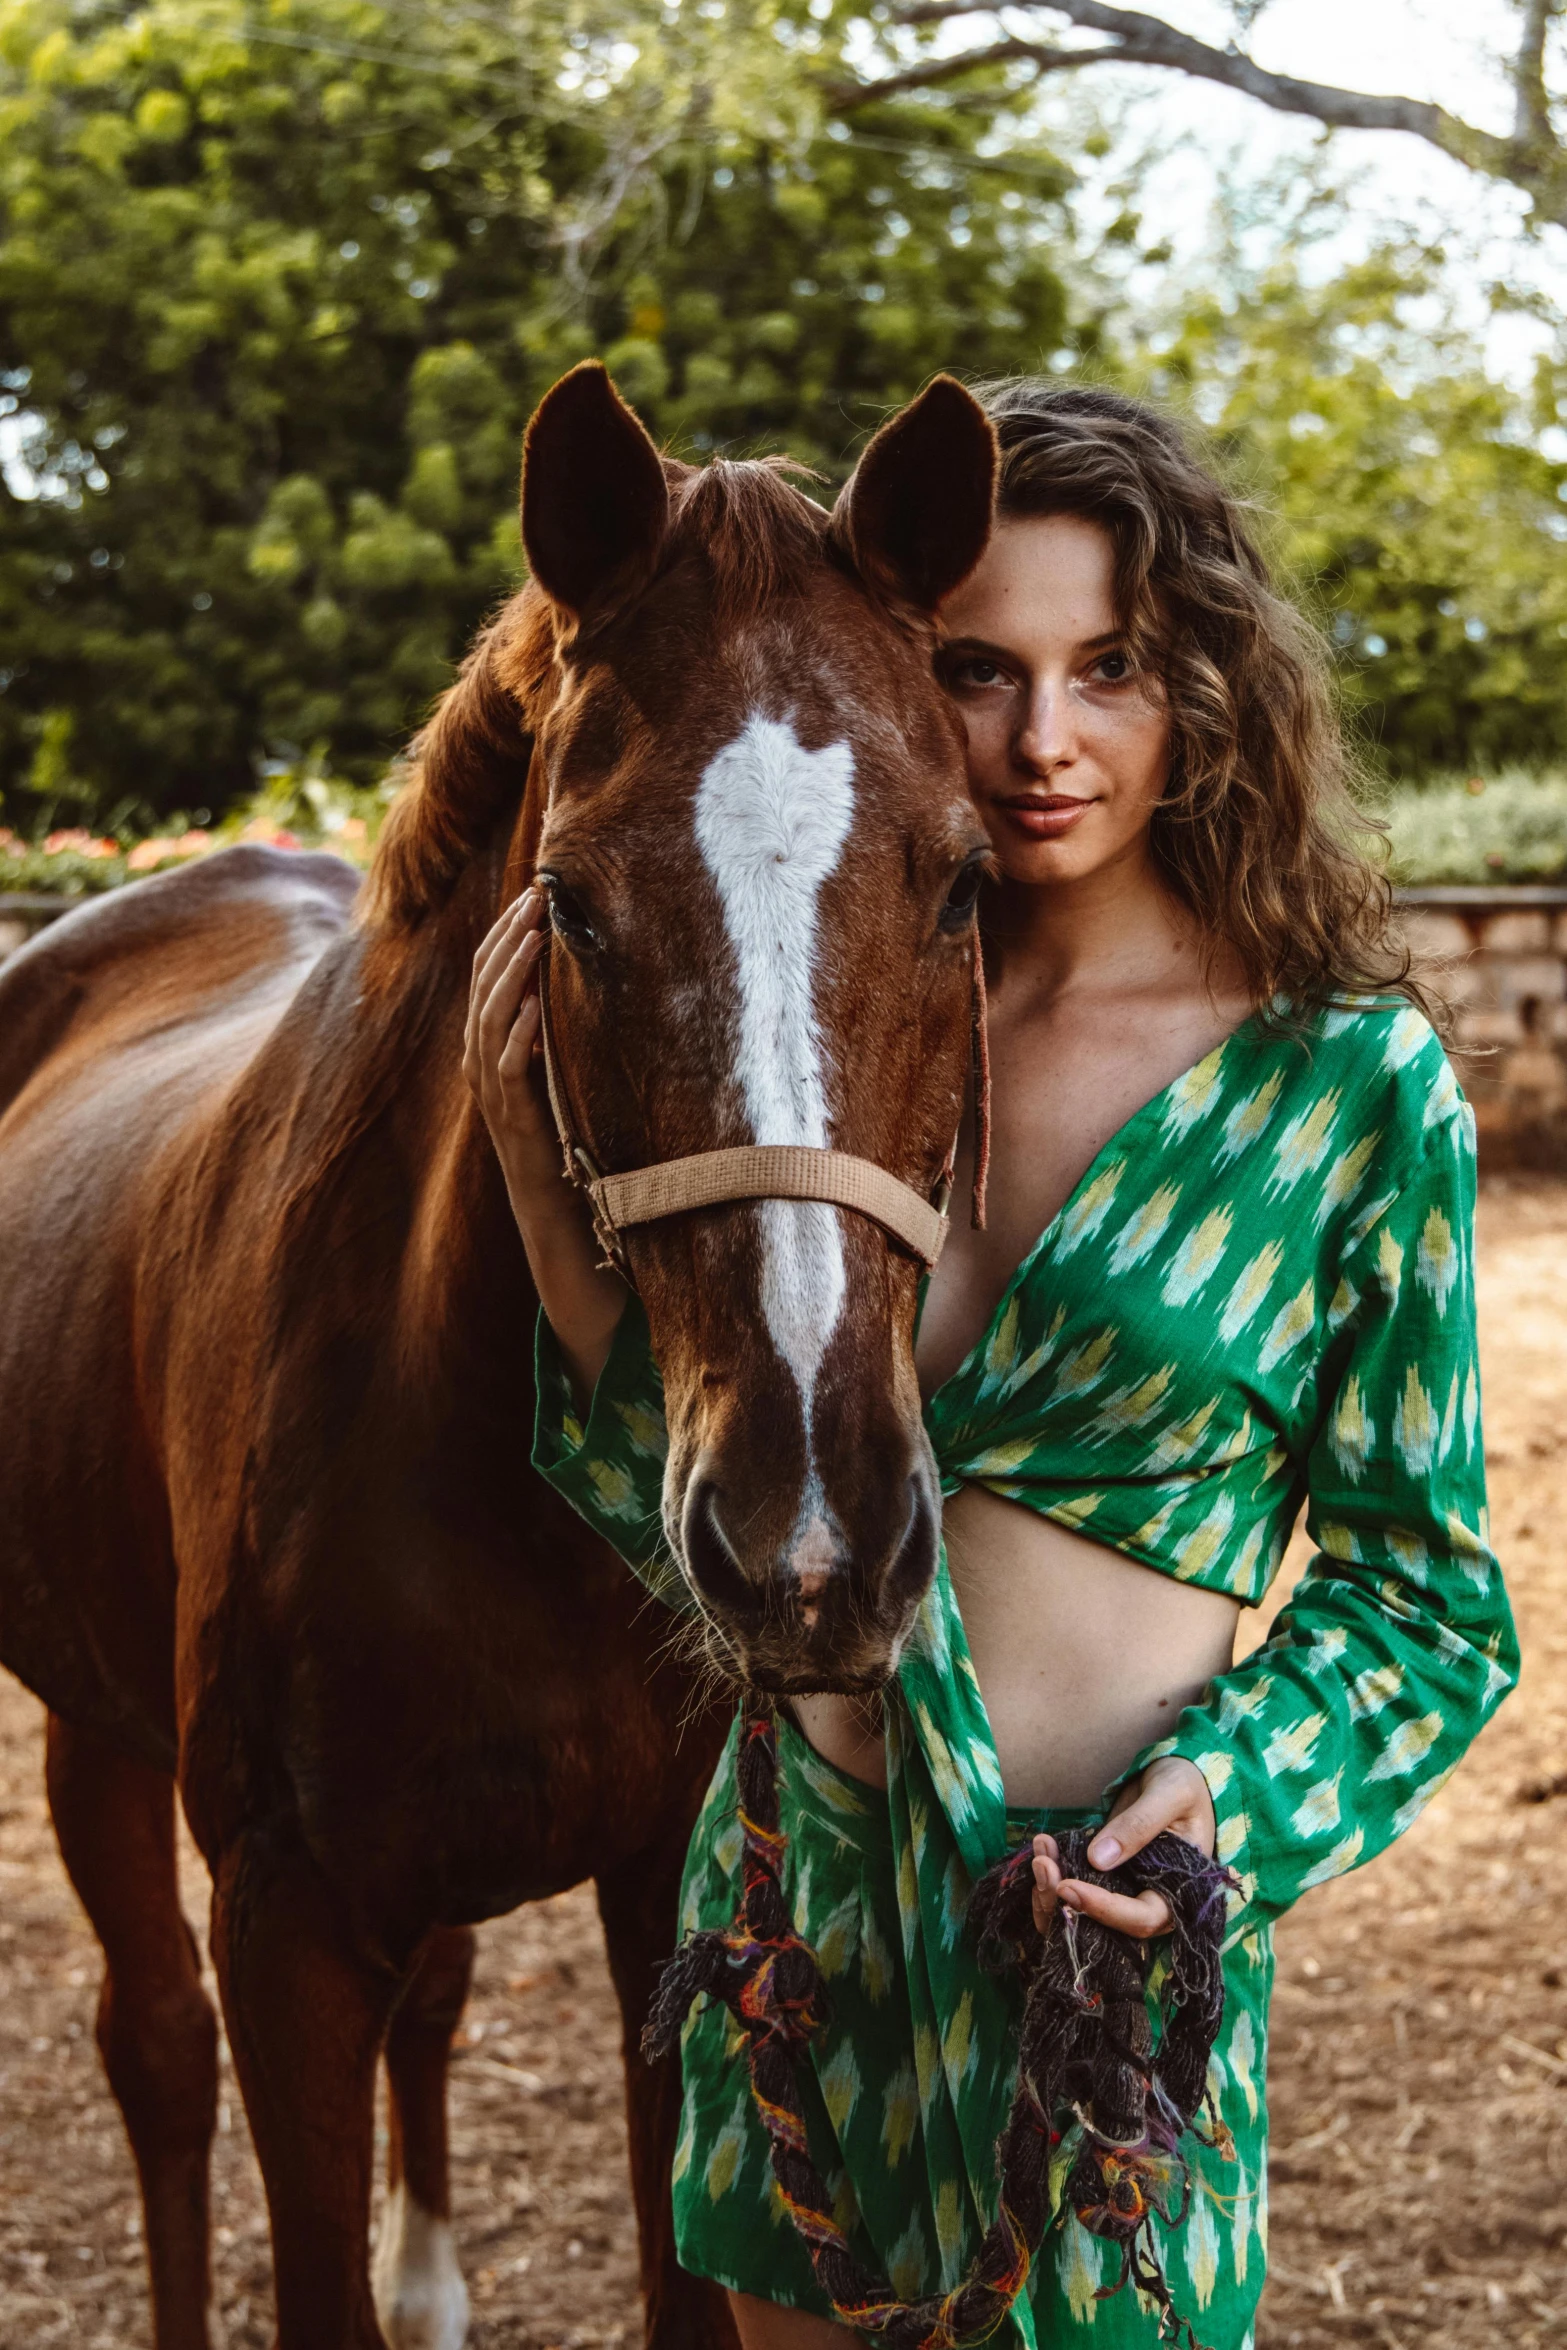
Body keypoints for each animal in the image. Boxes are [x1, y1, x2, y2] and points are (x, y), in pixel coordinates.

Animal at [0, 366, 991, 2350]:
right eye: (574, 902)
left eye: (957, 887)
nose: (812, 1539)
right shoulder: (286, 1930)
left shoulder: (667, 1904)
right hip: (90, 1723)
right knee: (152, 2052)